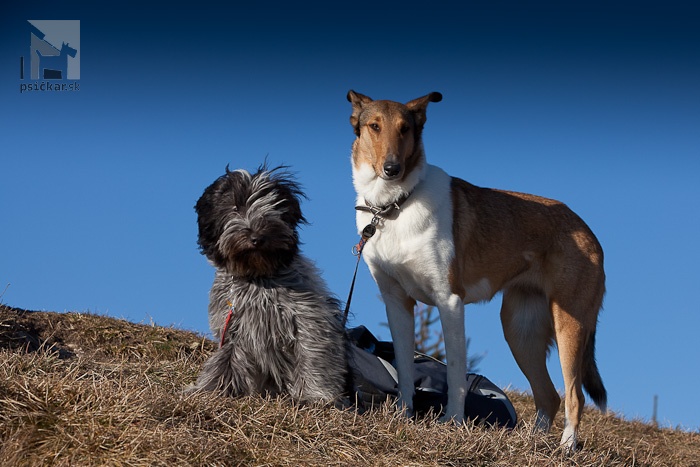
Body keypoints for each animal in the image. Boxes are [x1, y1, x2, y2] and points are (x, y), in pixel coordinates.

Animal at [190, 166, 350, 404]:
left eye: (272, 206)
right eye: (235, 207)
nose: (257, 237)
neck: (258, 277)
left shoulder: (309, 321)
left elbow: (313, 356)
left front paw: (313, 396)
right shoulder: (233, 327)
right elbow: (225, 360)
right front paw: (212, 389)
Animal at [348, 89, 604, 452]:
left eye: (405, 129)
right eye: (374, 126)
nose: (392, 168)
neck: (396, 205)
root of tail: (586, 229)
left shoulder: (449, 301)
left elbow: (456, 372)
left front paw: (452, 422)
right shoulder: (397, 303)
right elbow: (404, 367)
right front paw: (402, 415)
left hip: (570, 324)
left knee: (574, 395)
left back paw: (566, 447)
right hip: (519, 329)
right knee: (548, 395)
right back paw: (532, 443)